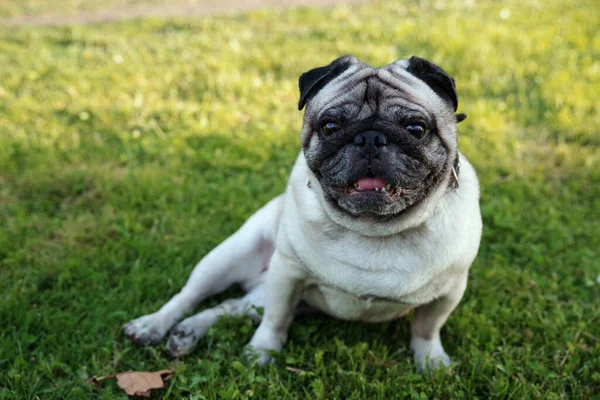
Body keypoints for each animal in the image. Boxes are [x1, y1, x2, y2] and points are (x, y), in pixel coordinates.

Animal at [123, 54, 482, 370]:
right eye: (330, 126)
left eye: (415, 128)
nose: (369, 137)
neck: (373, 227)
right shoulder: (287, 273)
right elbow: (276, 319)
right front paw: (262, 352)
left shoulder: (449, 292)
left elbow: (427, 328)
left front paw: (431, 361)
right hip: (229, 256)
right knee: (190, 295)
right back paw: (152, 326)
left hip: (257, 293)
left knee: (228, 306)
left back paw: (187, 333)